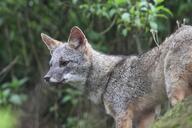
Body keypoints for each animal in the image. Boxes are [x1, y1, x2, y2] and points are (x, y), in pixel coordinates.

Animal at [41, 25, 192, 128]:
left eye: (64, 63)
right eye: (51, 65)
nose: (46, 78)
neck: (107, 78)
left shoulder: (122, 115)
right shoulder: (145, 114)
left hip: (173, 90)